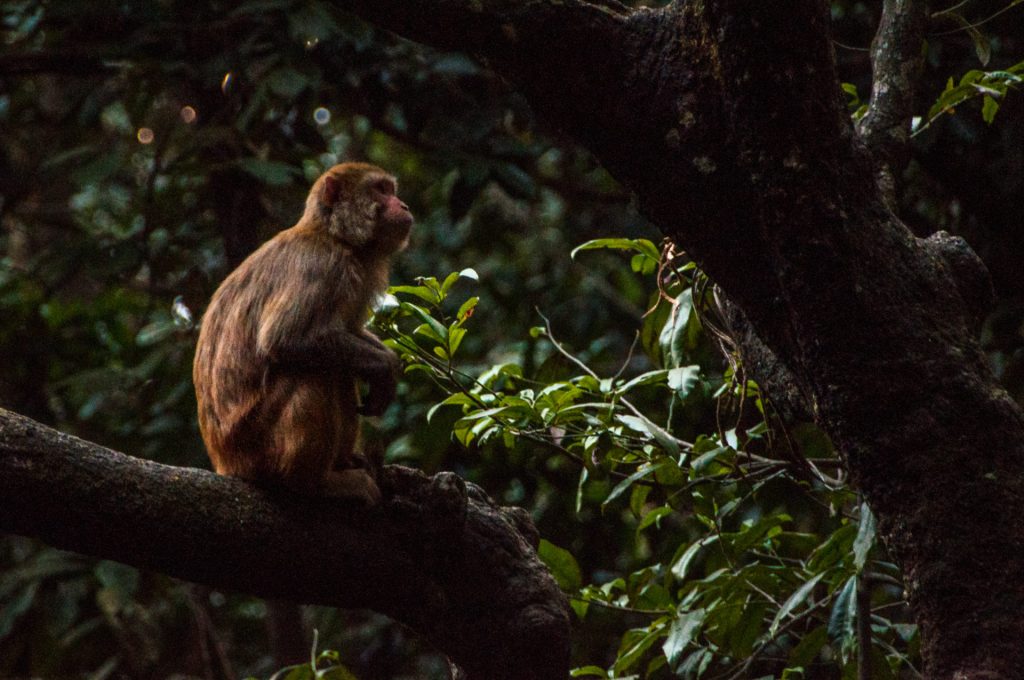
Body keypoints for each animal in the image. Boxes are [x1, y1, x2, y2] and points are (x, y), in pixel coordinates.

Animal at [193, 162, 413, 505]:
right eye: (381, 190)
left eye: (392, 190)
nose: (403, 206)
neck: (334, 236)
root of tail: (226, 463)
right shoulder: (324, 265)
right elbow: (287, 339)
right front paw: (385, 367)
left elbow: (347, 330)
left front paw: (385, 360)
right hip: (257, 447)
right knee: (314, 371)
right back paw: (312, 484)